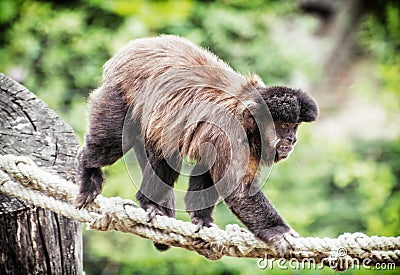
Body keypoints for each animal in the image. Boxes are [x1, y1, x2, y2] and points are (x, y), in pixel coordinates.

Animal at [76, 34, 318, 256]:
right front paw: (279, 232)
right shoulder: (231, 133)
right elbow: (238, 190)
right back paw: (89, 170)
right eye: (284, 126)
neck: (248, 120)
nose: (292, 140)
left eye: (294, 127)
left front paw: (201, 220)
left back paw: (151, 203)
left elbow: (207, 168)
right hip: (118, 92)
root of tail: (129, 49)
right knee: (113, 143)